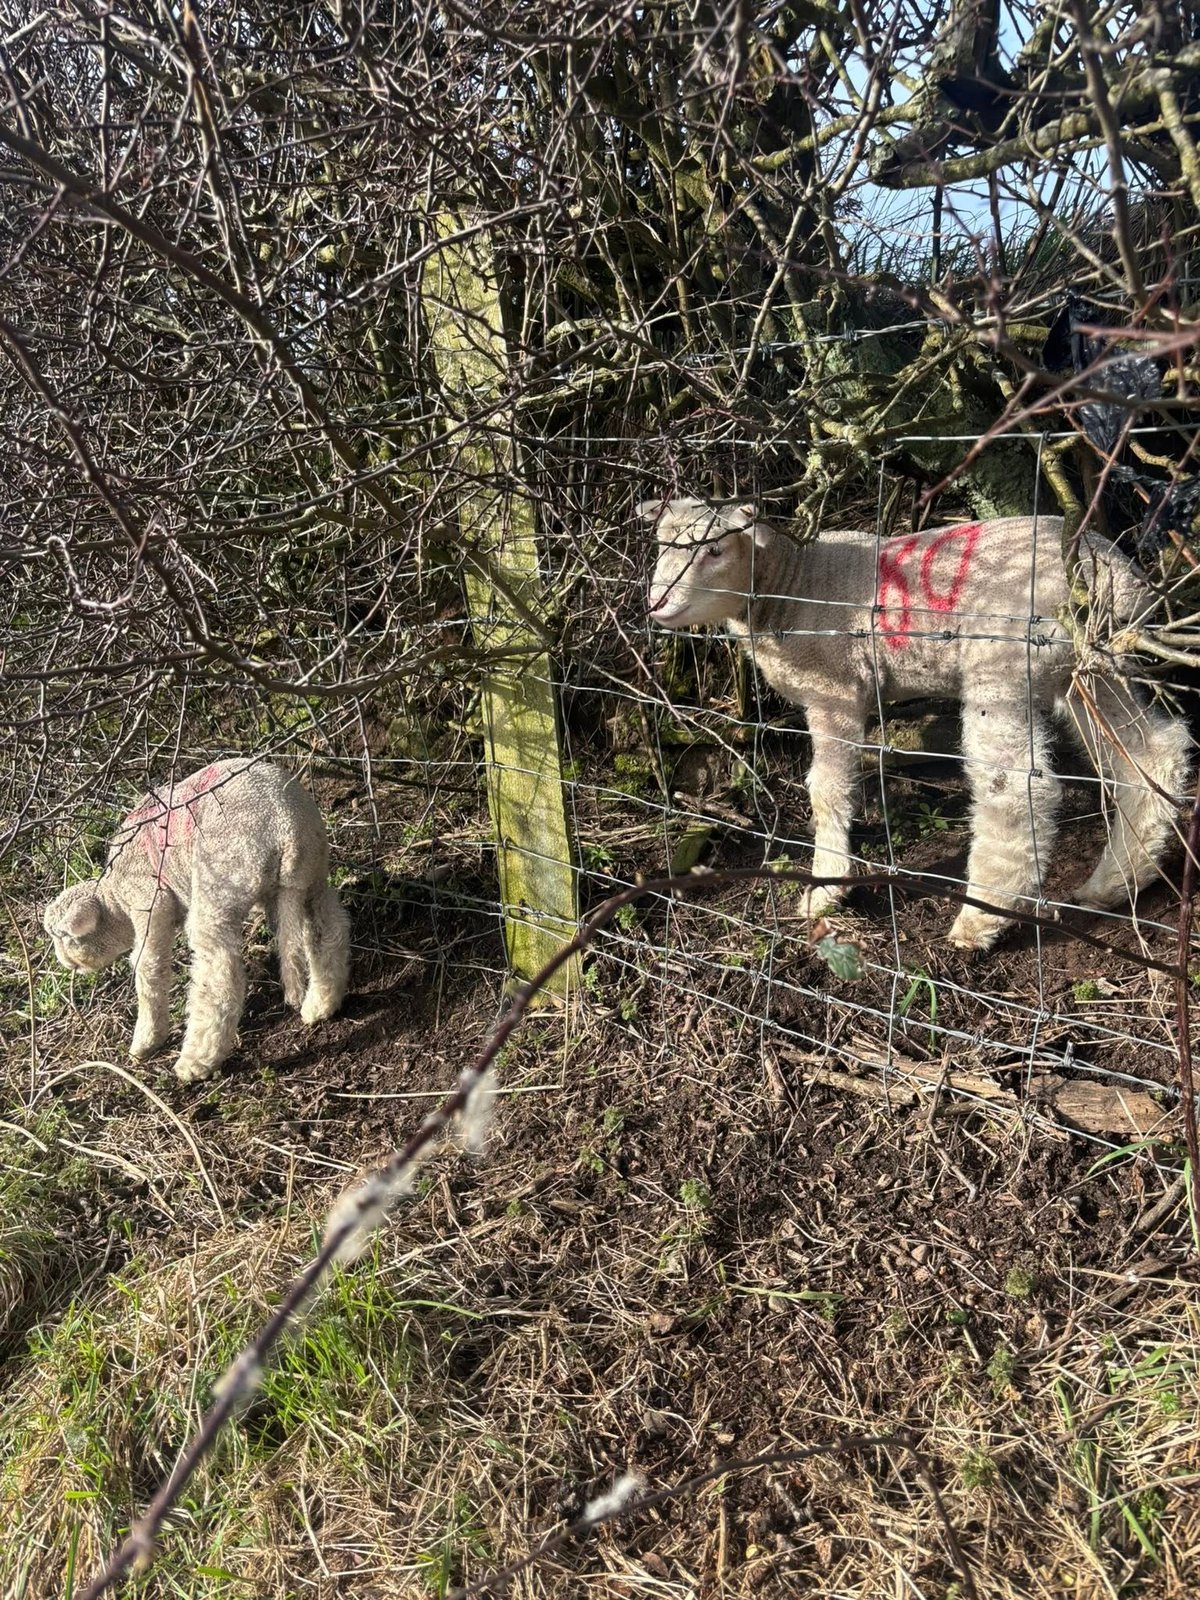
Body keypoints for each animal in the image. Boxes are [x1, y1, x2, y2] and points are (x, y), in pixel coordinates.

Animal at [42, 758, 351, 1082]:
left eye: (62, 937)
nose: (63, 963)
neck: (115, 900)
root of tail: (285, 823)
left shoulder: (147, 902)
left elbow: (148, 968)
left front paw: (144, 1043)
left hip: (221, 879)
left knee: (220, 974)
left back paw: (197, 1061)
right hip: (312, 871)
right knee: (328, 929)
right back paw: (321, 1005)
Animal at [642, 496, 1192, 950]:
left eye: (715, 550)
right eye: (661, 545)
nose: (657, 603)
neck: (793, 585)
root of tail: (1114, 575)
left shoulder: (836, 690)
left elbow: (826, 789)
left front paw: (826, 886)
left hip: (1004, 665)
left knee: (1016, 791)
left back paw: (981, 919)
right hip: (1090, 668)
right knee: (1150, 754)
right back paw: (1115, 883)